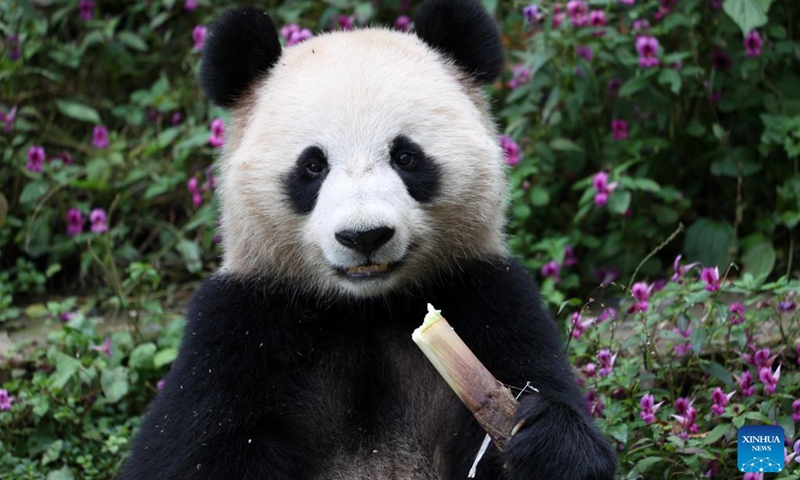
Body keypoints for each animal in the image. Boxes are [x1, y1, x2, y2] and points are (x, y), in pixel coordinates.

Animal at [120, 0, 620, 480]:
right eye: (312, 165)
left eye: (406, 157)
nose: (365, 236)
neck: (366, 308)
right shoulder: (242, 326)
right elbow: (188, 453)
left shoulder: (489, 298)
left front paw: (544, 440)